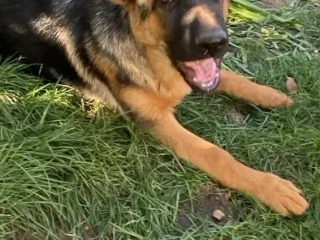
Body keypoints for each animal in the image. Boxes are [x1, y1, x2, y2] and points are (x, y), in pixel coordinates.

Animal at [0, 0, 310, 217]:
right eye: (166, 2)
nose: (214, 43)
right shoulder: (156, 120)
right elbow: (215, 154)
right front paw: (270, 187)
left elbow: (229, 77)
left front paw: (269, 95)